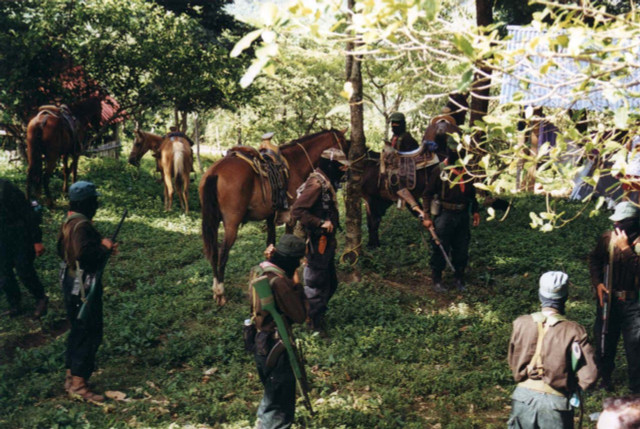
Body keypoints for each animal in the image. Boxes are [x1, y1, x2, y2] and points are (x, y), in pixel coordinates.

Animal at [201, 128, 348, 304]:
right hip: (231, 225)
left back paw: (215, 289)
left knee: (214, 253)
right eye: (344, 143)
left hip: (213, 223)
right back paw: (220, 292)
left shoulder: (271, 216)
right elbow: (288, 238)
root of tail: (214, 172)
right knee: (222, 254)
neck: (295, 163)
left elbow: (270, 242)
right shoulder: (291, 215)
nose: (347, 172)